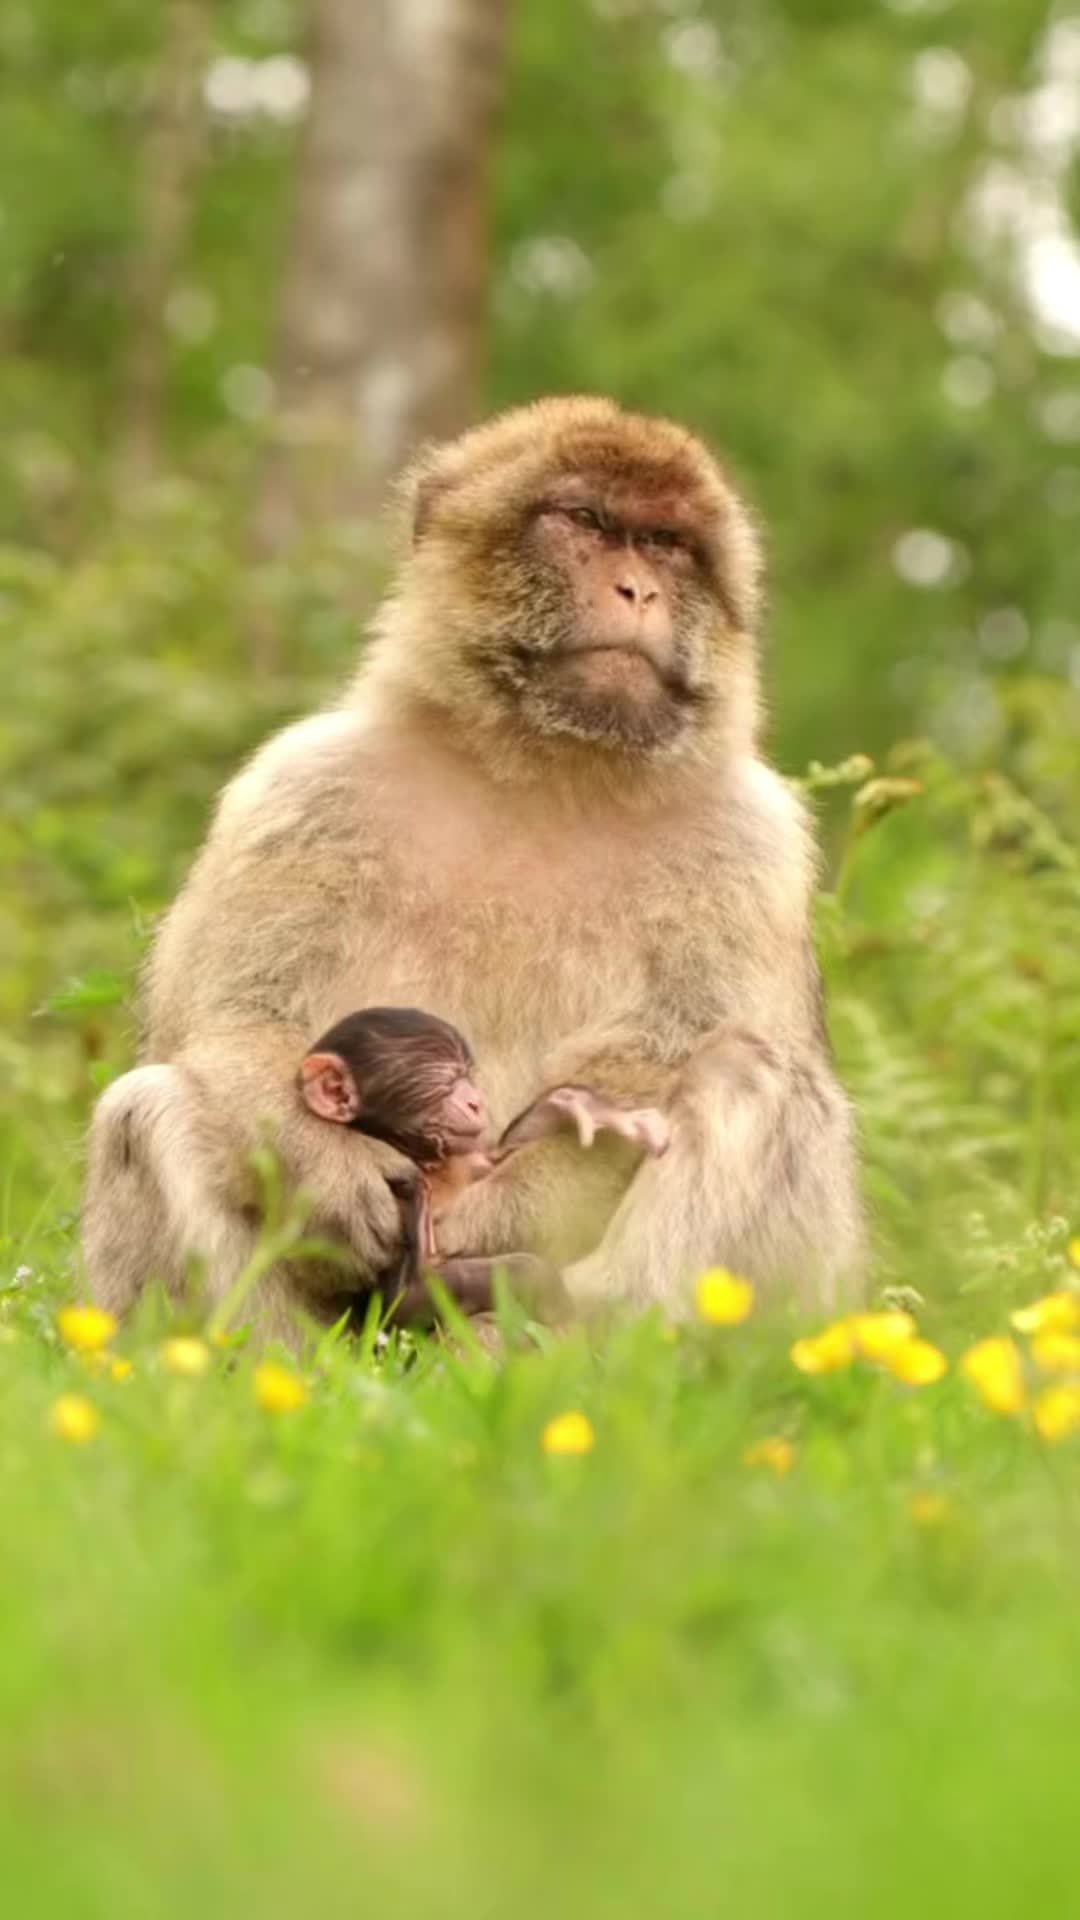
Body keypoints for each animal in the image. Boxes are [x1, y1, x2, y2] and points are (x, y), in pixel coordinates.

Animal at [296, 1005, 670, 1329]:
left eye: (467, 1074)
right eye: (446, 1081)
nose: (475, 1102)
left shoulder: (465, 1159)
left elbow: (498, 1157)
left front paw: (583, 1106)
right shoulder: (399, 1184)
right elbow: (407, 1299)